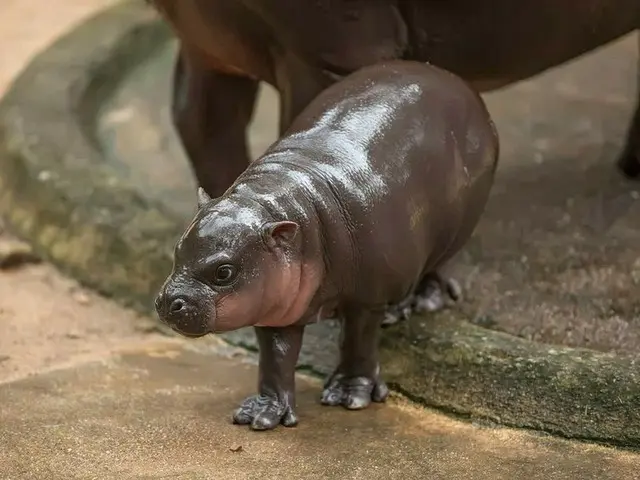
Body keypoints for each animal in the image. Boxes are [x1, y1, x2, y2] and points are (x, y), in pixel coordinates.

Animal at [155, 60, 500, 432]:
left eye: (224, 272)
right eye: (178, 248)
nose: (169, 301)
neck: (296, 214)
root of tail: (452, 78)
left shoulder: (366, 299)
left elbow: (356, 343)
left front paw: (350, 396)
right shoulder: (275, 304)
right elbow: (275, 359)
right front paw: (260, 414)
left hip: (455, 228)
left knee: (436, 267)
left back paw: (416, 304)